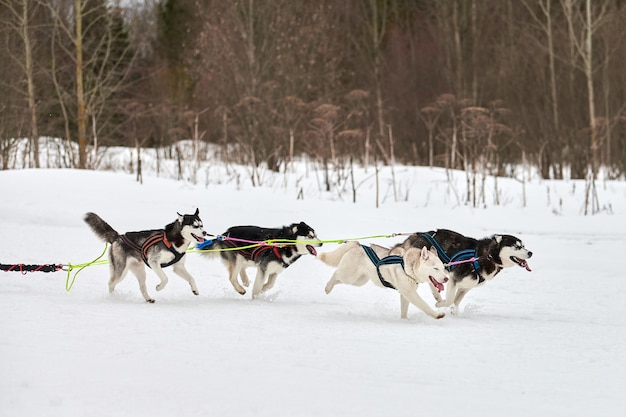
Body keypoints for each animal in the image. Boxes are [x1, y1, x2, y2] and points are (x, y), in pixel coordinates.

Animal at [390, 229, 532, 310]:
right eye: (516, 247)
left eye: (524, 246)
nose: (530, 253)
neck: (486, 256)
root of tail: (419, 235)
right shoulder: (454, 279)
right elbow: (450, 300)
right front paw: (440, 305)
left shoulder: (466, 286)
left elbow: (456, 301)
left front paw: (453, 312)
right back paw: (437, 297)